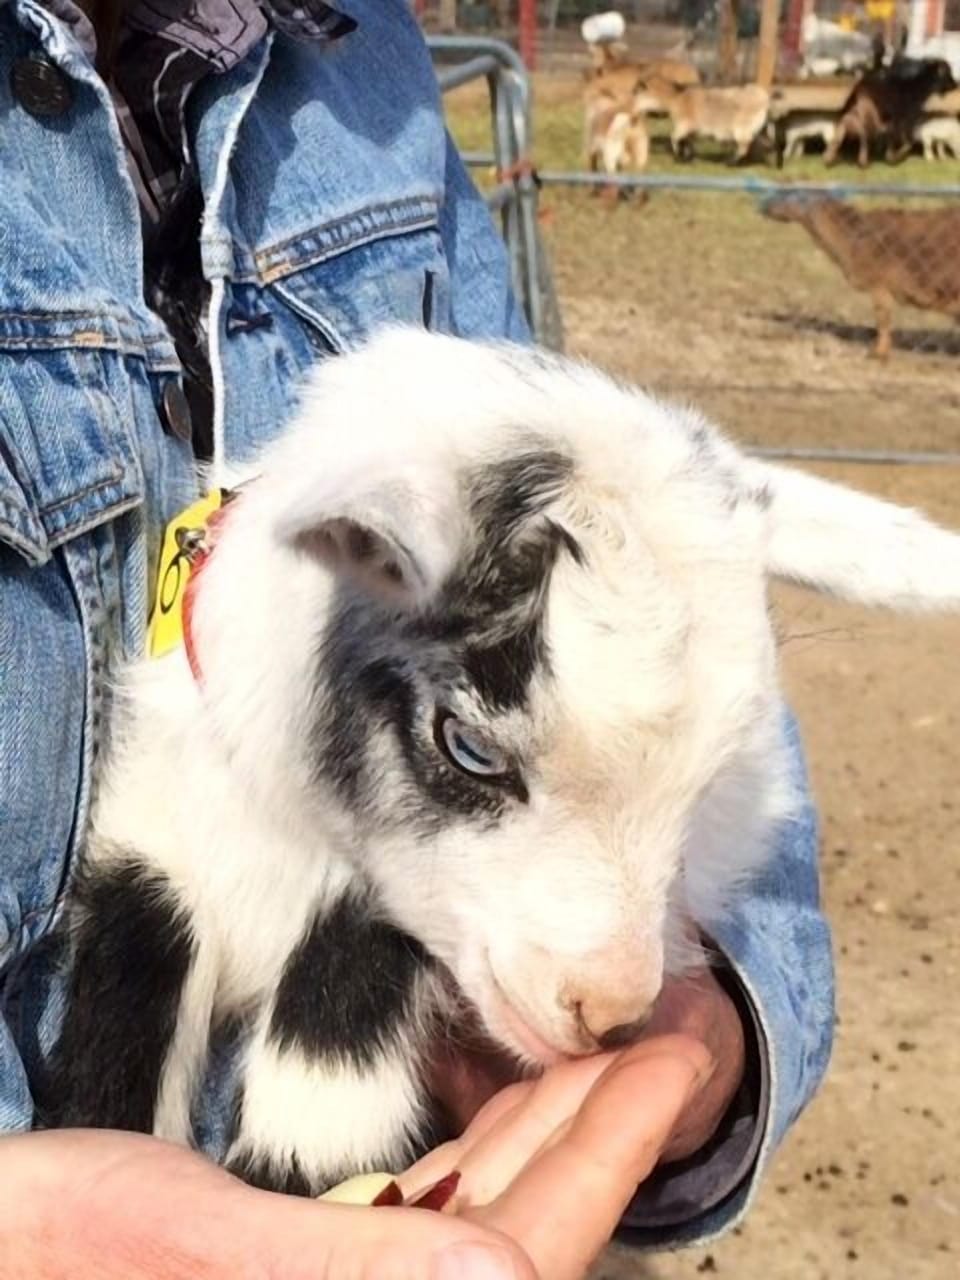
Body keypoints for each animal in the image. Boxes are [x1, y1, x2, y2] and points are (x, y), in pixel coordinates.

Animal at [635, 78, 770, 164]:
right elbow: (688, 141)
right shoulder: (692, 130)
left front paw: (678, 155)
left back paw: (730, 162)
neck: (676, 98)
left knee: (744, 146)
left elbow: (673, 137)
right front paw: (688, 157)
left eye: (637, 92)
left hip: (741, 128)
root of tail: (763, 98)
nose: (632, 106)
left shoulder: (685, 124)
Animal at [824, 57, 958, 167]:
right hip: (870, 117)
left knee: (840, 134)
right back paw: (863, 162)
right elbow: (907, 142)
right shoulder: (901, 121)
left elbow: (894, 141)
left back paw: (829, 158)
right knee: (864, 138)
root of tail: (858, 89)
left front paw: (889, 155)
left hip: (851, 116)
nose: (956, 84)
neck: (917, 87)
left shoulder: (892, 123)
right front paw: (894, 157)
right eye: (948, 73)